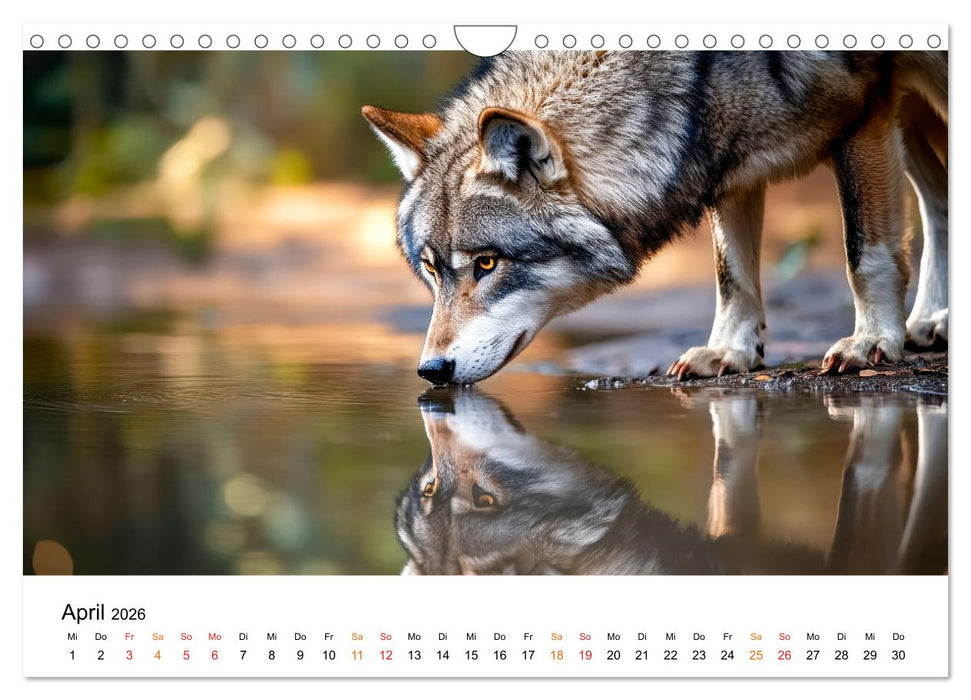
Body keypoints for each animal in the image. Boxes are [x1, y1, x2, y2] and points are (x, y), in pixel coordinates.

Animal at [363, 51, 947, 384]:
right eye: (432, 269)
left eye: (487, 264)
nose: (430, 372)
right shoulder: (727, 163)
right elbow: (732, 276)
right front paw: (729, 353)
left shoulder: (865, 112)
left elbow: (863, 253)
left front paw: (872, 341)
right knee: (939, 198)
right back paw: (932, 321)